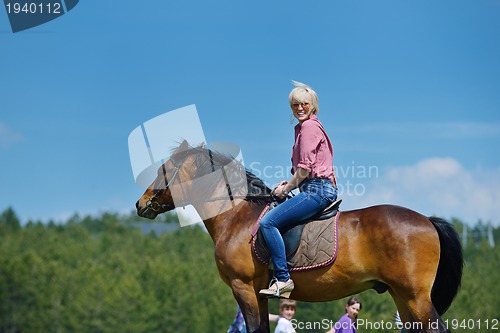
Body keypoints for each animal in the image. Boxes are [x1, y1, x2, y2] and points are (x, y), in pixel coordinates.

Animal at [135, 141, 462, 332]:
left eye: (164, 170)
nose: (141, 204)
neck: (235, 216)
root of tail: (427, 221)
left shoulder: (243, 288)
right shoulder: (258, 293)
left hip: (415, 297)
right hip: (401, 296)